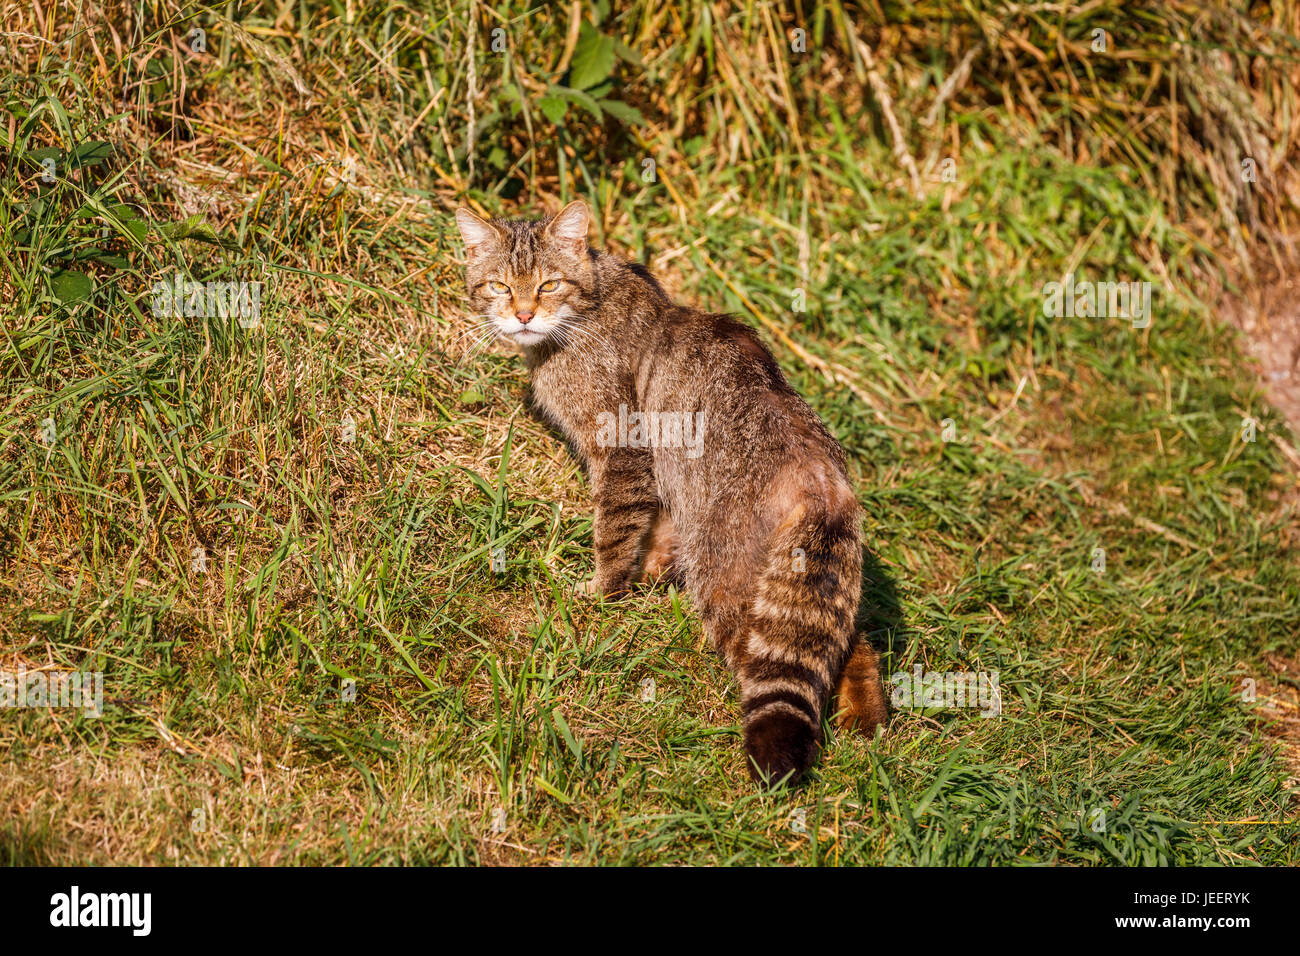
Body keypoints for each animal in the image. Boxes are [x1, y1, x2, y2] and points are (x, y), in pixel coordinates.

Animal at [452, 201, 889, 785]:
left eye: (548, 284)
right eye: (499, 286)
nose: (522, 315)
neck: (591, 302)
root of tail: (824, 482)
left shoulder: (623, 452)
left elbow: (613, 534)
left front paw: (603, 591)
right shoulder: (658, 479)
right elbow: (653, 530)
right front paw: (649, 570)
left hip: (729, 582)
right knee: (850, 643)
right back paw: (866, 723)